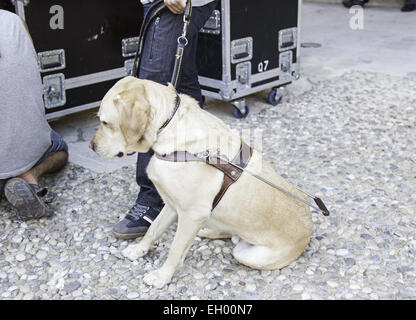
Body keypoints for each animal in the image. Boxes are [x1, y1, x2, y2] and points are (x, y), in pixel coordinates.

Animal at [92, 77, 312, 288]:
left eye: (105, 122)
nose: (92, 146)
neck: (169, 126)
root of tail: (309, 231)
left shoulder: (192, 214)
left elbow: (175, 249)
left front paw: (162, 277)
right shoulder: (172, 206)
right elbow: (153, 229)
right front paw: (139, 250)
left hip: (248, 255)